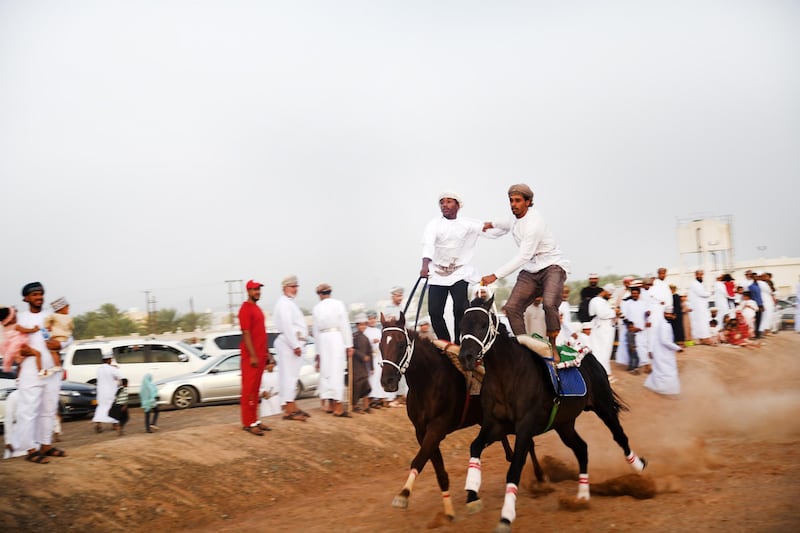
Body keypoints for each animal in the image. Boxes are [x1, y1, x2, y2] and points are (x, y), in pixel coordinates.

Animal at [380, 312, 544, 520]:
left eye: (401, 344)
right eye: (380, 345)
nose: (387, 381)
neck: (427, 382)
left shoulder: (437, 428)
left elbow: (419, 459)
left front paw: (403, 494)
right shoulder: (421, 432)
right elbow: (439, 471)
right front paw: (449, 510)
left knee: (529, 443)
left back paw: (540, 477)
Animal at [456, 298, 644, 528]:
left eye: (483, 325)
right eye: (461, 325)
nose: (465, 357)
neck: (507, 376)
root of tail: (591, 358)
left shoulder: (524, 427)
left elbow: (515, 468)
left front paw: (506, 515)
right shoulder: (496, 424)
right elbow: (475, 447)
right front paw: (472, 495)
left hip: (603, 405)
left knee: (619, 435)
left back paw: (638, 466)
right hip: (564, 424)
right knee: (581, 448)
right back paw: (582, 496)